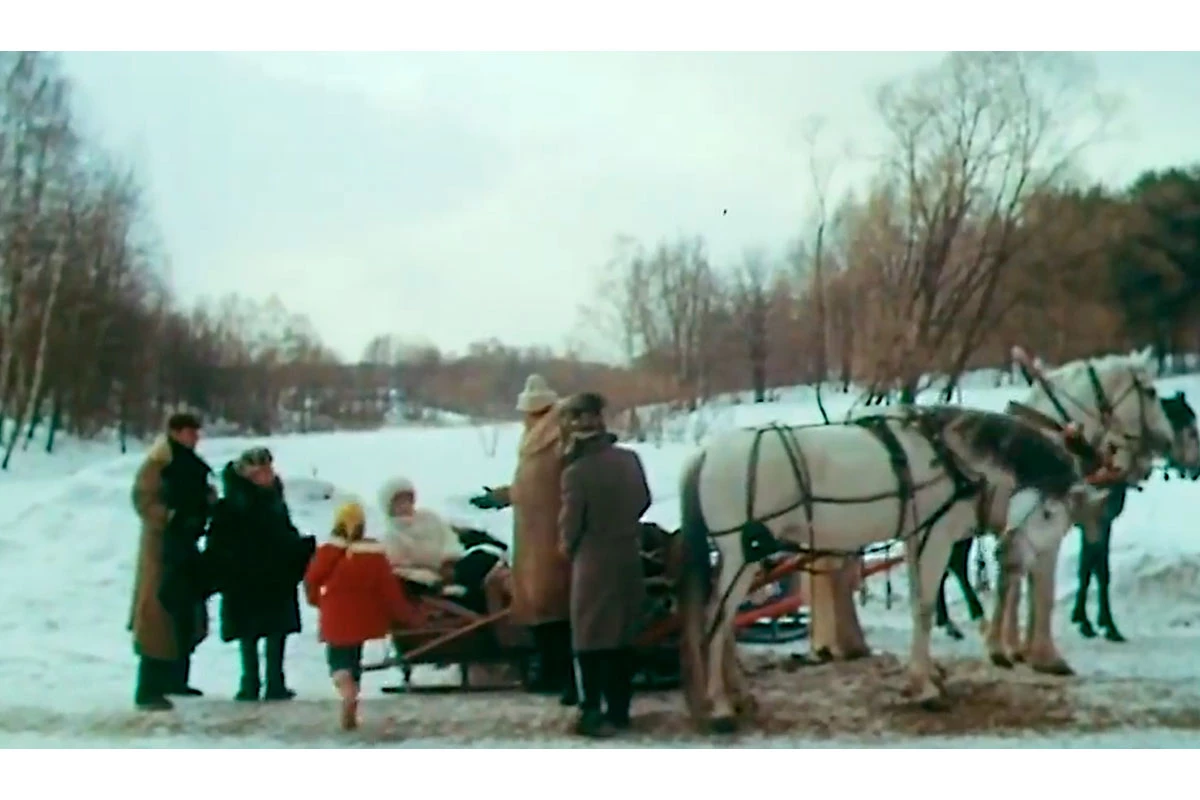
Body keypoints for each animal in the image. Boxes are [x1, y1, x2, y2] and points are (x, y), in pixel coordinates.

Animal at [681, 402, 1099, 734]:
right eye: (1048, 512)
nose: (1009, 557)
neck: (954, 459)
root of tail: (705, 454)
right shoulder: (936, 536)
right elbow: (925, 608)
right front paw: (926, 689)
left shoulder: (917, 537)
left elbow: (918, 604)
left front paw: (925, 677)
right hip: (742, 555)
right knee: (716, 621)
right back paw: (720, 707)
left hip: (744, 558)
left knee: (724, 623)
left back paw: (739, 695)